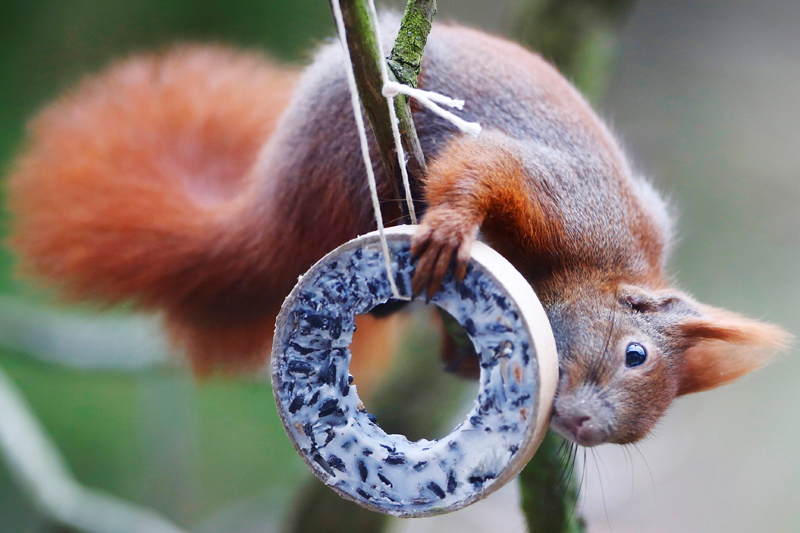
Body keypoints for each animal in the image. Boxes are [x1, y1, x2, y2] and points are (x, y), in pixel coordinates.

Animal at [5, 18, 790, 446]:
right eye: (635, 354)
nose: (585, 429)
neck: (608, 265)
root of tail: (272, 214)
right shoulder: (571, 201)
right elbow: (484, 169)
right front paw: (451, 227)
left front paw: (461, 355)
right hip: (347, 154)